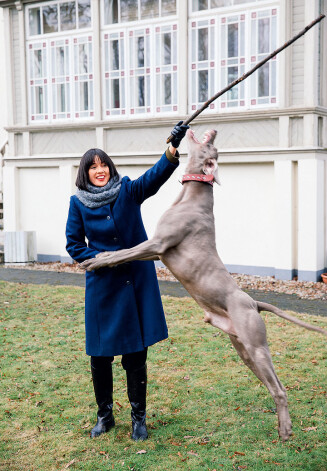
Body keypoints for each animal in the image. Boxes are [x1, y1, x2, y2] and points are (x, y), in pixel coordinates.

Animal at [81, 129, 326, 442]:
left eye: (212, 148)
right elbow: (123, 252)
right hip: (243, 349)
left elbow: (122, 253)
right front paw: (99, 258)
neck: (192, 196)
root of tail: (253, 302)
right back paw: (284, 424)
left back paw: (285, 430)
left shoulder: (156, 244)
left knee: (280, 389)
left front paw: (96, 262)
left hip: (256, 345)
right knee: (274, 385)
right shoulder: (155, 251)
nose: (214, 131)